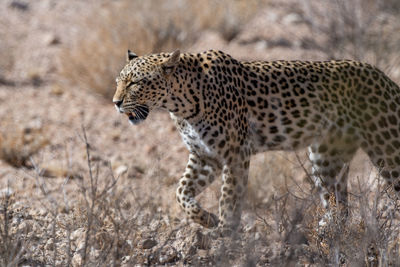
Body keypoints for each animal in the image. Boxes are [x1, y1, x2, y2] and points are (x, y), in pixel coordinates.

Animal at [111, 49, 400, 233]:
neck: (182, 104)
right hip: (325, 157)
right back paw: (325, 231)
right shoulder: (205, 156)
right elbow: (181, 192)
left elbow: (229, 198)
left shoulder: (234, 154)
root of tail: (383, 77)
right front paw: (207, 220)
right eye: (118, 82)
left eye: (135, 83)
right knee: (340, 207)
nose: (116, 102)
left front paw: (224, 232)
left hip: (387, 147)